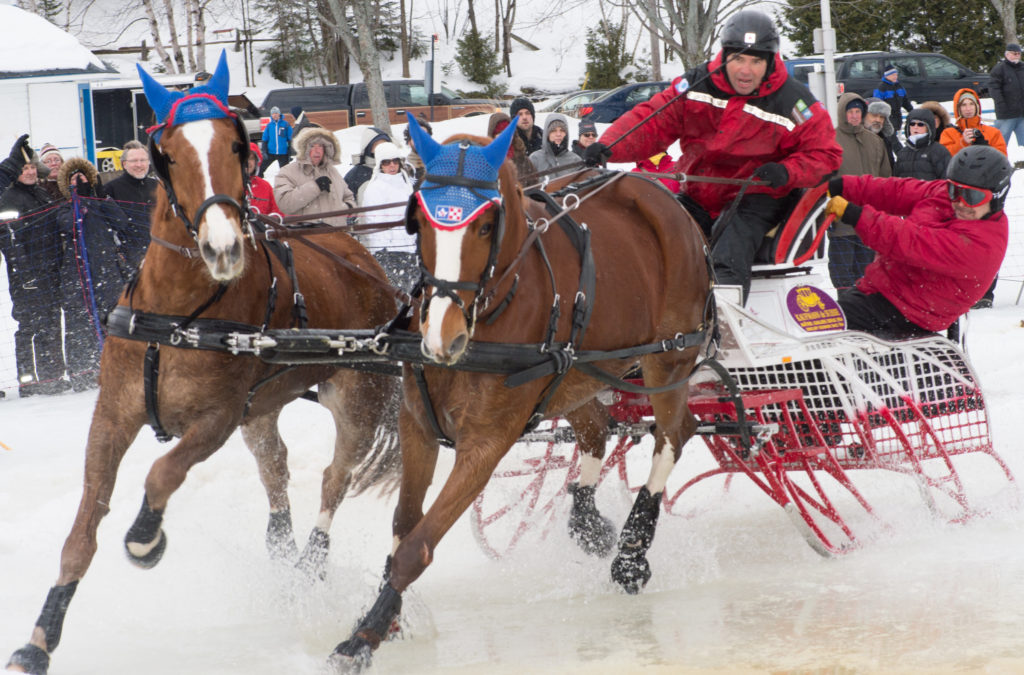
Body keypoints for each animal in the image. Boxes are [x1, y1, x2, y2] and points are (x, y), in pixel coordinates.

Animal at [7, 52, 399, 675]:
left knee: (335, 478)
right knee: (275, 467)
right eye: (166, 154)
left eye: (237, 146)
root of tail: (362, 256)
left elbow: (162, 474)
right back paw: (281, 547)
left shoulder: (215, 419)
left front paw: (146, 537)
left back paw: (310, 559)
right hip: (262, 406)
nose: (222, 247)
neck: (177, 316)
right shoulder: (112, 416)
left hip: (357, 396)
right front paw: (40, 638)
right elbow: (82, 532)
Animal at [327, 117, 712, 671]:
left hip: (670, 359)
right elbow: (403, 524)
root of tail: (660, 195)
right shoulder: (416, 423)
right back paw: (588, 522)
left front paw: (364, 635)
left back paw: (632, 552)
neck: (492, 312)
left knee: (675, 433)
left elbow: (417, 546)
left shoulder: (485, 444)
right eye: (420, 220)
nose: (442, 336)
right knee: (599, 430)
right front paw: (385, 615)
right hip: (577, 373)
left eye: (486, 225)